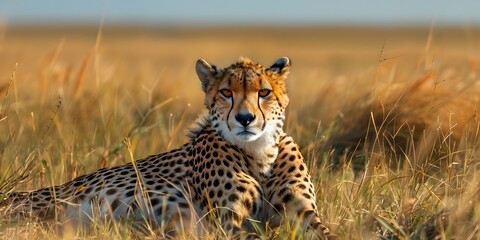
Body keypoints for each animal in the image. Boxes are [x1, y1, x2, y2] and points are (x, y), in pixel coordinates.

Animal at [0, 57, 338, 239]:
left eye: (264, 92)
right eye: (227, 92)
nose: (245, 118)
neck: (259, 153)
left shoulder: (303, 213)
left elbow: (328, 233)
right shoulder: (225, 223)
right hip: (39, 209)